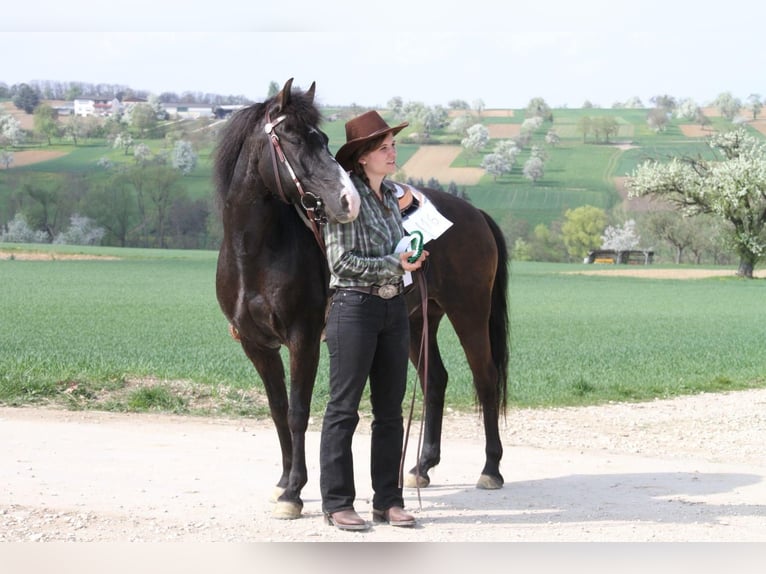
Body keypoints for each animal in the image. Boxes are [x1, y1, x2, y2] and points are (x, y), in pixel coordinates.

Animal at [214, 78, 509, 520]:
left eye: (323, 139)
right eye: (293, 138)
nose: (347, 201)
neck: (255, 253)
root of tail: (475, 214)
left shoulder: (303, 339)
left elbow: (299, 412)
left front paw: (294, 492)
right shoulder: (256, 345)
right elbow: (278, 410)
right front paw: (283, 482)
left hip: (469, 313)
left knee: (485, 378)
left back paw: (490, 470)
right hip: (419, 320)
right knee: (435, 380)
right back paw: (421, 467)